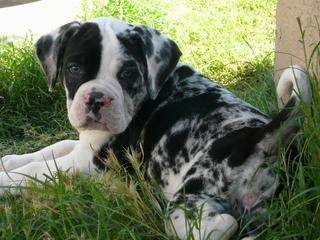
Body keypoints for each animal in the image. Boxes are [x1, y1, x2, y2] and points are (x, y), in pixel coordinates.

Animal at [0, 17, 310, 239]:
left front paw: (6, 179)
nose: (97, 98)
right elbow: (55, 147)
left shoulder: (89, 163)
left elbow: (39, 169)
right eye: (74, 68)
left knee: (220, 227)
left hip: (188, 204)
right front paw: (10, 160)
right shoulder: (86, 145)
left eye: (128, 73)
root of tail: (265, 138)